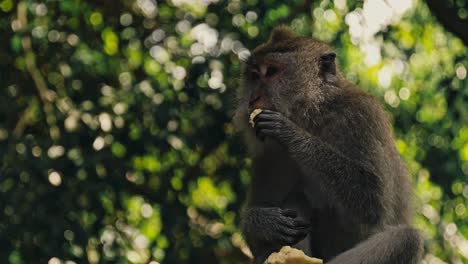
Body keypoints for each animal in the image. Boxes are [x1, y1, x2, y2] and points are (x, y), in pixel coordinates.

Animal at [234, 26, 424, 264]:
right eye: (254, 75)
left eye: (271, 72)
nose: (253, 99)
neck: (313, 116)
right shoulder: (267, 153)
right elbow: (256, 241)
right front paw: (262, 222)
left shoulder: (362, 117)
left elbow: (373, 201)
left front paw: (288, 131)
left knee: (407, 239)